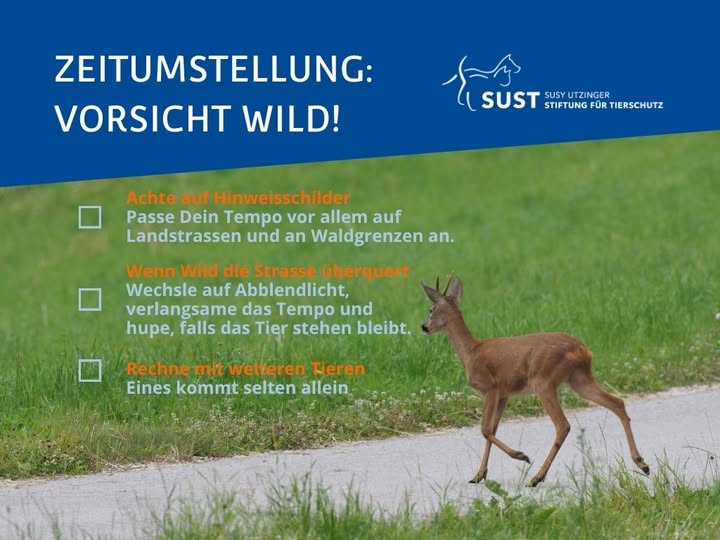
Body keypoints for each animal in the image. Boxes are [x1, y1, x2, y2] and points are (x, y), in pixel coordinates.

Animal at [421, 275, 650, 487]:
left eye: (431, 309)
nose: (424, 327)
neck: (471, 352)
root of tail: (581, 350)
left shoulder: (491, 388)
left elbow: (485, 429)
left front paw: (521, 456)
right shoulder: (504, 394)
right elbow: (492, 430)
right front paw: (479, 475)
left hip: (544, 380)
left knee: (563, 425)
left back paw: (536, 477)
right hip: (579, 379)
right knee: (617, 402)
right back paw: (642, 463)